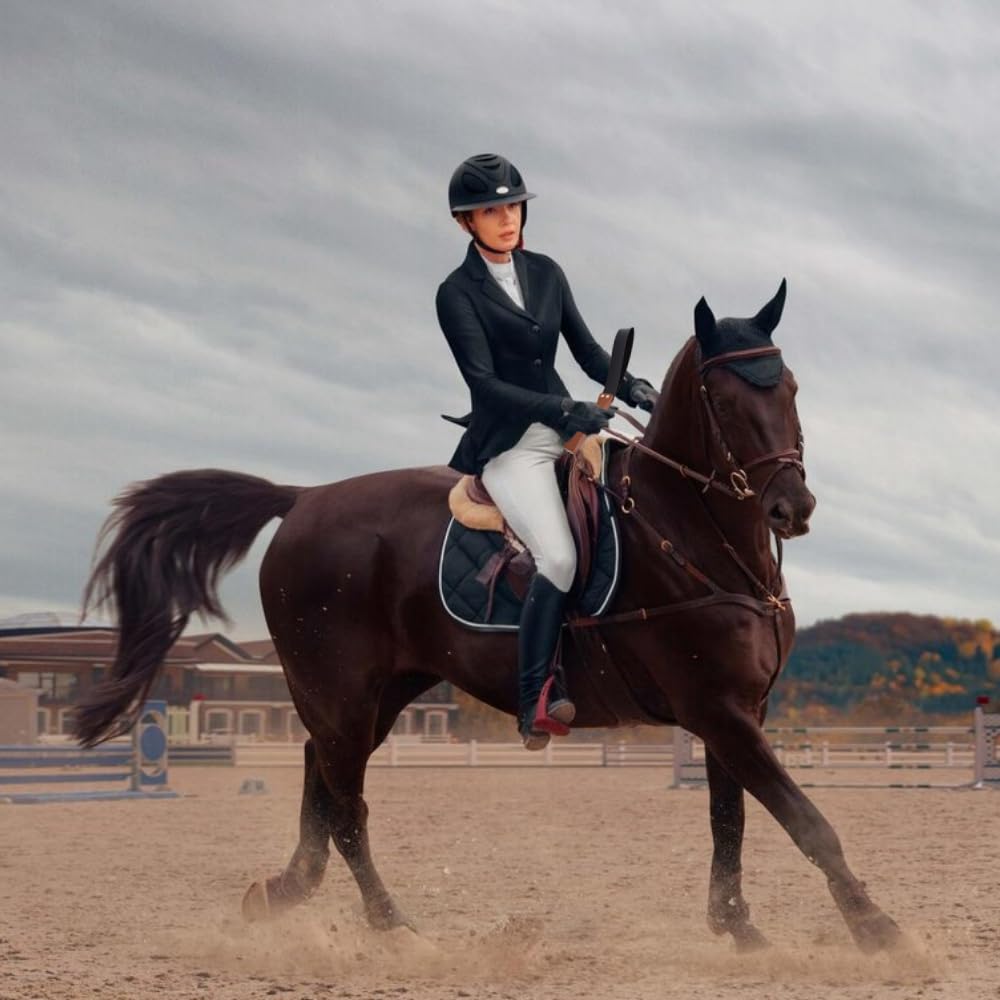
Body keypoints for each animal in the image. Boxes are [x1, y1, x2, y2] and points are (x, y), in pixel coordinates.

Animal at [75, 280, 901, 953]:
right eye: (725, 401)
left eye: (789, 388)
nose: (793, 508)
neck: (697, 537)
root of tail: (302, 498)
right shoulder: (717, 709)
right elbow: (806, 822)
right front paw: (878, 930)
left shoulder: (736, 711)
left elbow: (730, 821)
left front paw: (738, 928)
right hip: (339, 691)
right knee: (347, 808)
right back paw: (393, 928)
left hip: (378, 693)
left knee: (322, 778)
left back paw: (282, 894)